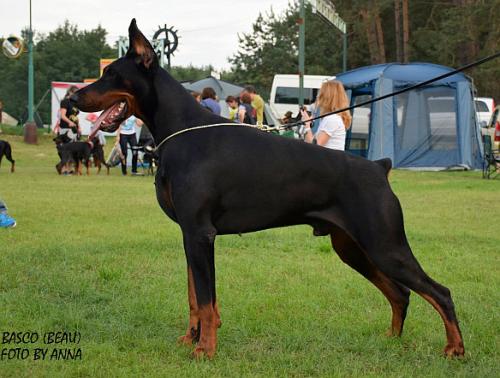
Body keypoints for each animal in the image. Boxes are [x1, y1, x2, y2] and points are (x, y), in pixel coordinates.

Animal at [72, 19, 466, 358]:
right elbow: (194, 297)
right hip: (352, 247)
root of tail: (379, 167)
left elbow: (206, 301)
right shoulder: (188, 234)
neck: (180, 130)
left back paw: (454, 349)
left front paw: (205, 351)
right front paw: (190, 340)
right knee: (400, 292)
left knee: (440, 292)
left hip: (384, 244)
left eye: (111, 74)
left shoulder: (200, 233)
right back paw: (390, 339)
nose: (73, 100)